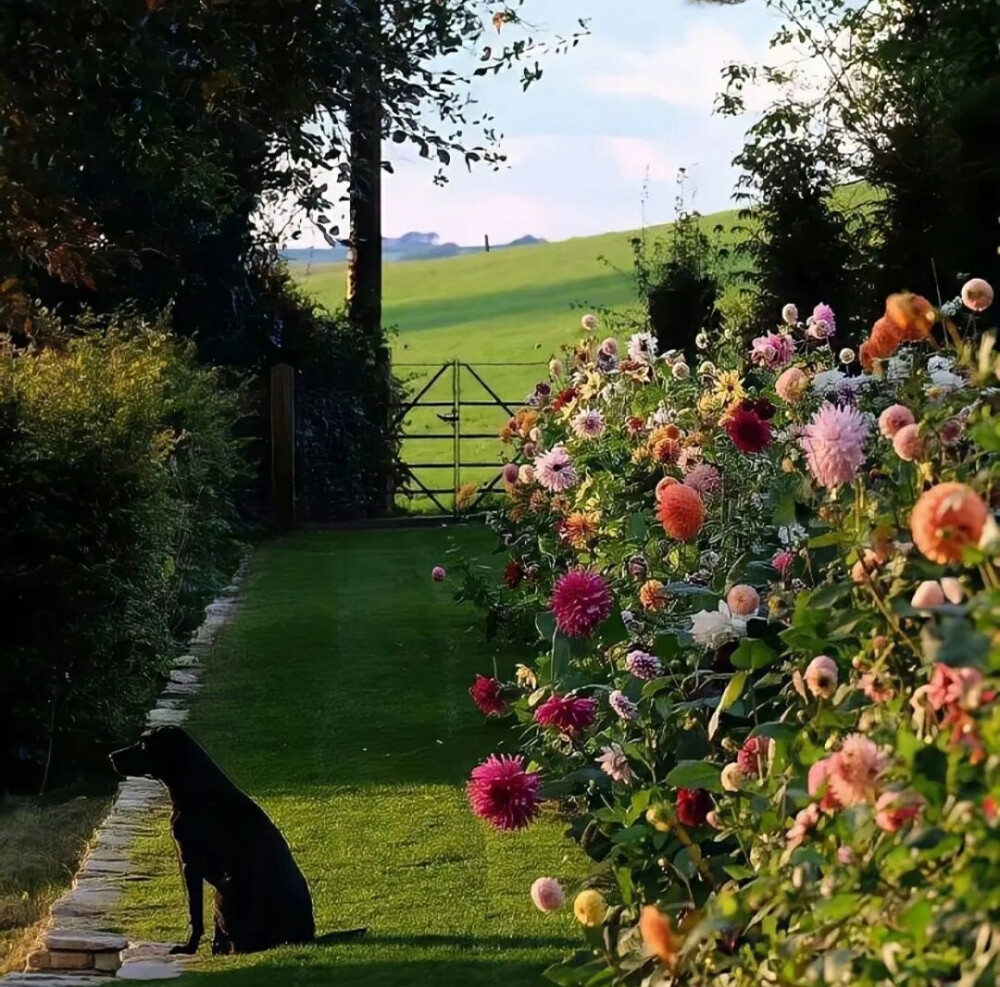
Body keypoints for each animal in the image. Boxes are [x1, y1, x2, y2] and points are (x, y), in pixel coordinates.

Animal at [112, 724, 328, 956]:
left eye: (144, 744)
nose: (111, 756)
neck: (196, 787)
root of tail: (307, 933)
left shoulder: (189, 864)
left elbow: (194, 913)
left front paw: (189, 947)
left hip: (225, 890)